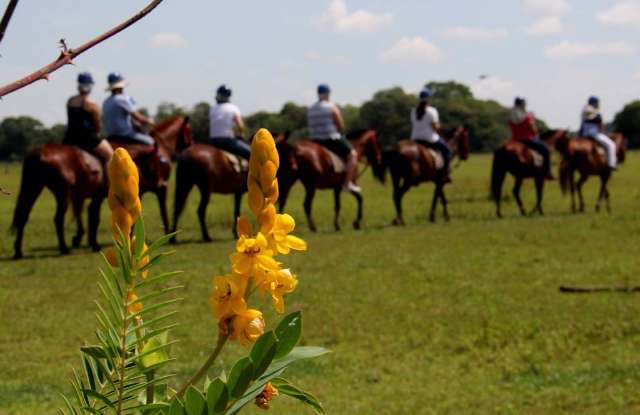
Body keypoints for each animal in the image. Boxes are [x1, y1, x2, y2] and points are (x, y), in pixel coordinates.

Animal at [11, 116, 192, 260]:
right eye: (189, 131)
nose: (161, 182)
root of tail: (38, 152)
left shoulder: (96, 196)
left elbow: (92, 216)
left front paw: (91, 241)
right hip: (61, 192)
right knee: (57, 218)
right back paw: (63, 248)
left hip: (35, 187)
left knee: (24, 215)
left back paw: (18, 251)